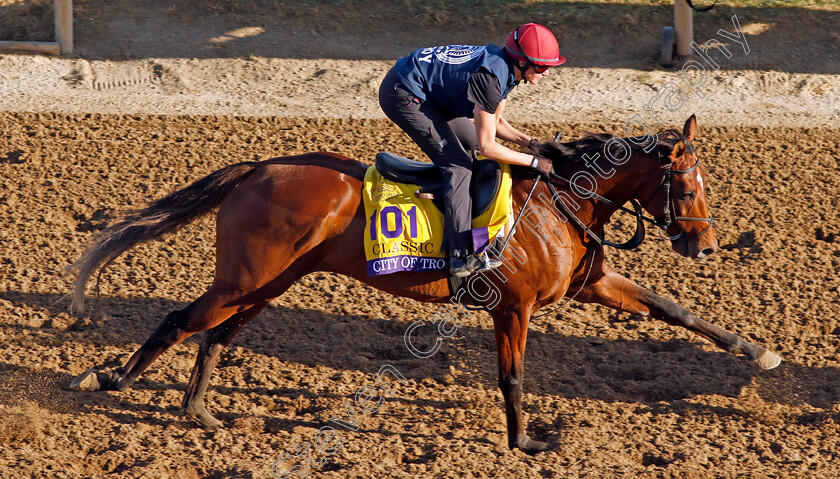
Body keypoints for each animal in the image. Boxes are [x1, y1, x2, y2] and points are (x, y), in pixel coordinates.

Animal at [67, 116, 780, 454]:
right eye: (686, 184)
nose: (705, 245)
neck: (562, 200)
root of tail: (261, 167)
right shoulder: (514, 307)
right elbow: (512, 376)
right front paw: (525, 441)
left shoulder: (589, 283)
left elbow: (675, 310)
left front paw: (759, 351)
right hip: (246, 276)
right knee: (180, 320)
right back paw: (109, 380)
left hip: (268, 282)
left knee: (215, 334)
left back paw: (199, 410)